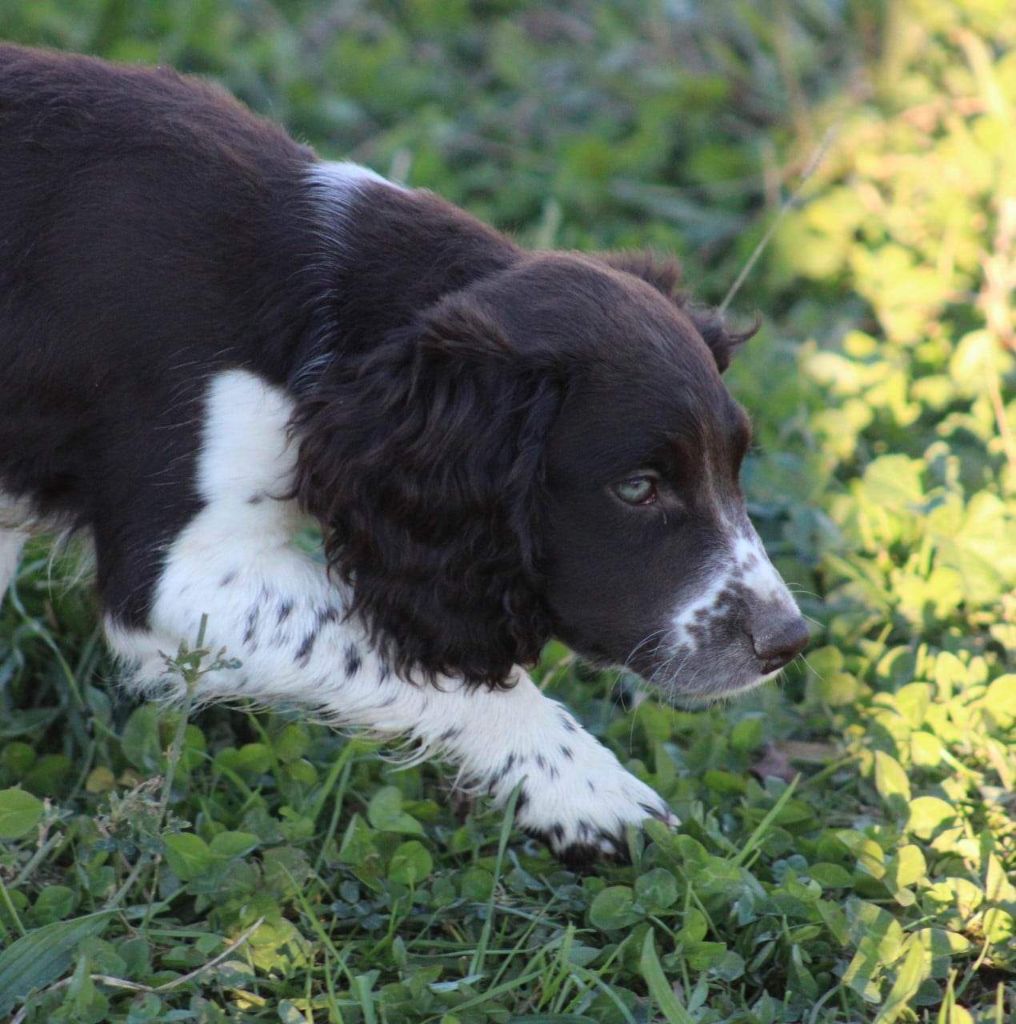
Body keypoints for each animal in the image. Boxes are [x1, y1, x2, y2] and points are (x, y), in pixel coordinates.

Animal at [1, 46, 811, 864]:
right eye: (638, 488)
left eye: (736, 466)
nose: (788, 642)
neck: (325, 303)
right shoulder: (181, 574)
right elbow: (411, 662)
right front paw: (593, 794)